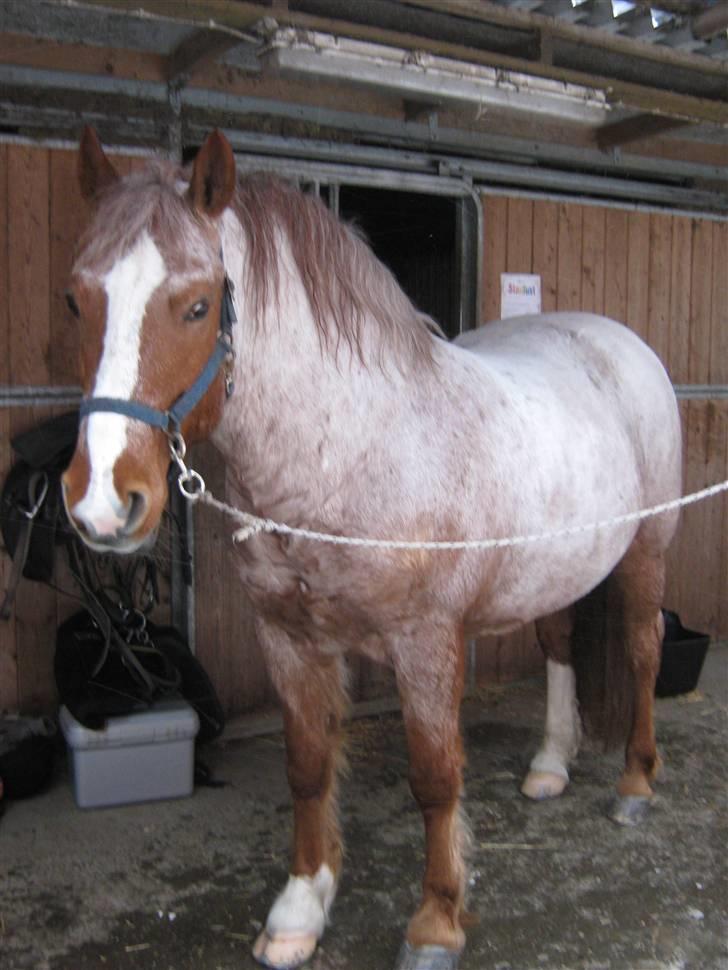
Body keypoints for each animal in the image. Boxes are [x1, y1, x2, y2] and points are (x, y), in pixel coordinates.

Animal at [61, 127, 682, 970]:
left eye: (195, 305)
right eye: (76, 299)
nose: (101, 501)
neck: (349, 450)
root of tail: (620, 343)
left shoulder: (425, 645)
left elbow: (435, 777)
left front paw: (437, 922)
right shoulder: (287, 638)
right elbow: (307, 765)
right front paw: (300, 908)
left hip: (646, 554)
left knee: (645, 653)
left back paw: (635, 785)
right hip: (552, 569)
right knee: (559, 644)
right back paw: (551, 764)